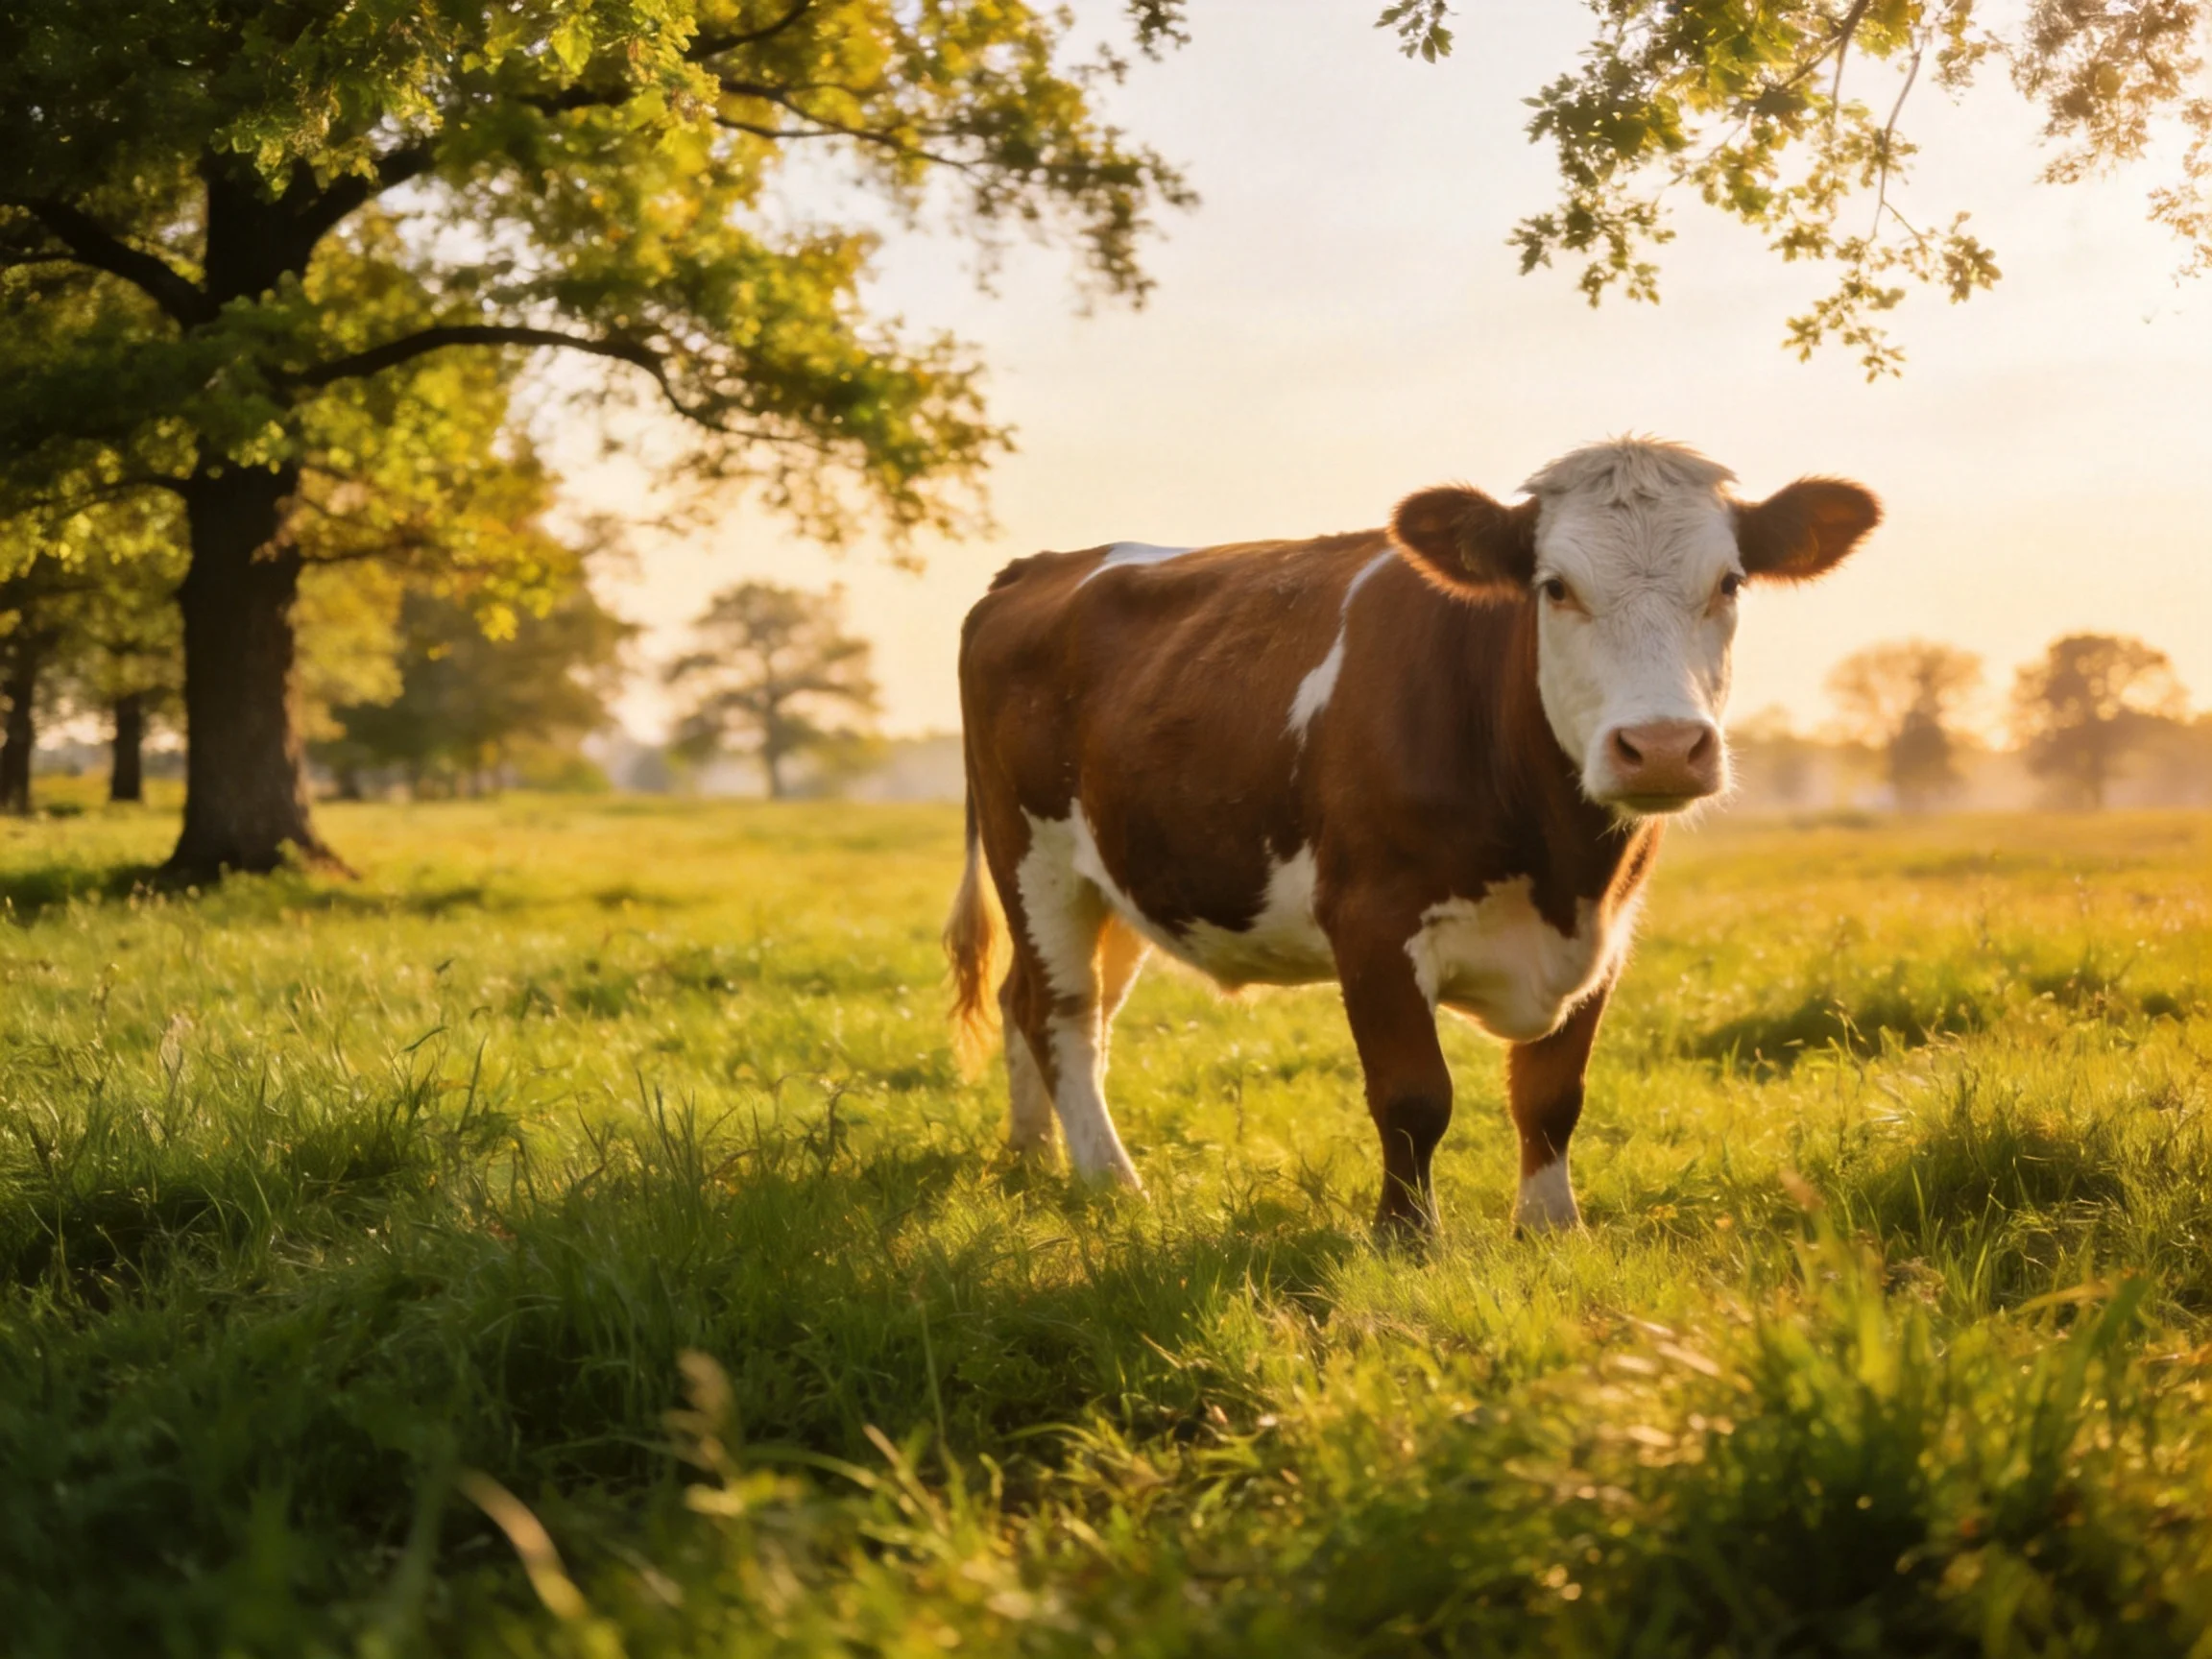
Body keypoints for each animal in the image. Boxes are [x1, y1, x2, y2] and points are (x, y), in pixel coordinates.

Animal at [944, 438, 1879, 1238]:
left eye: (1729, 582)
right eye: (1555, 586)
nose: (1660, 746)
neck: (1560, 860)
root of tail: (1041, 565)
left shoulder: (1609, 932)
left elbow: (1552, 1094)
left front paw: (1550, 1229)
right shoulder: (1371, 920)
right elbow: (1413, 1096)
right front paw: (1405, 1237)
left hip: (1122, 873)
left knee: (1041, 1005)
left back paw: (1032, 1157)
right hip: (1036, 860)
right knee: (1060, 1011)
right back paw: (1109, 1181)